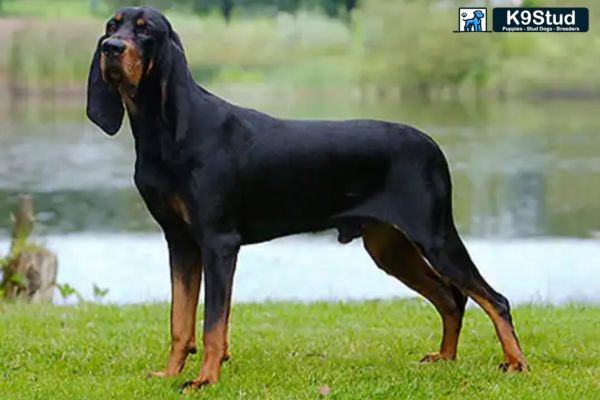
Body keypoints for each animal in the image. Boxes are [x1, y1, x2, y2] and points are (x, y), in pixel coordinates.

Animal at [85, 6, 528, 390]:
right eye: (111, 26)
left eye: (145, 30)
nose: (111, 49)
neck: (163, 135)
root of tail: (433, 145)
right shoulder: (180, 242)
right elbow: (180, 321)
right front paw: (170, 373)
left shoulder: (219, 242)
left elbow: (213, 325)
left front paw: (205, 379)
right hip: (390, 247)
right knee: (451, 298)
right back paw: (446, 358)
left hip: (434, 236)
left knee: (494, 299)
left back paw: (516, 363)